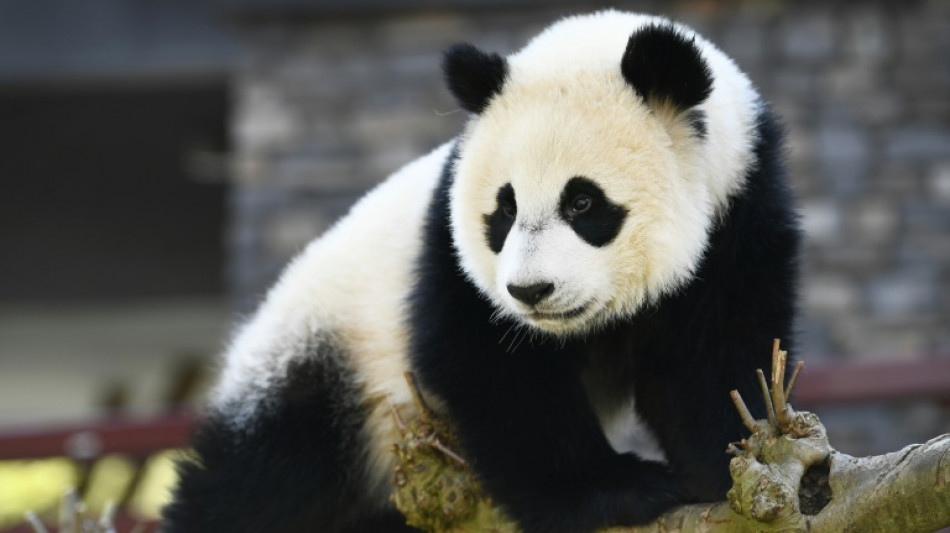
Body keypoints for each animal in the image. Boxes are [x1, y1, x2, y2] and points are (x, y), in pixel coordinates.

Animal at [163, 10, 799, 533]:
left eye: (583, 203)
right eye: (505, 208)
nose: (531, 291)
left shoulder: (740, 212)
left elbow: (718, 354)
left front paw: (733, 469)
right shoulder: (449, 256)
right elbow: (492, 369)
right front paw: (621, 489)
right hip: (325, 362)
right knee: (264, 483)